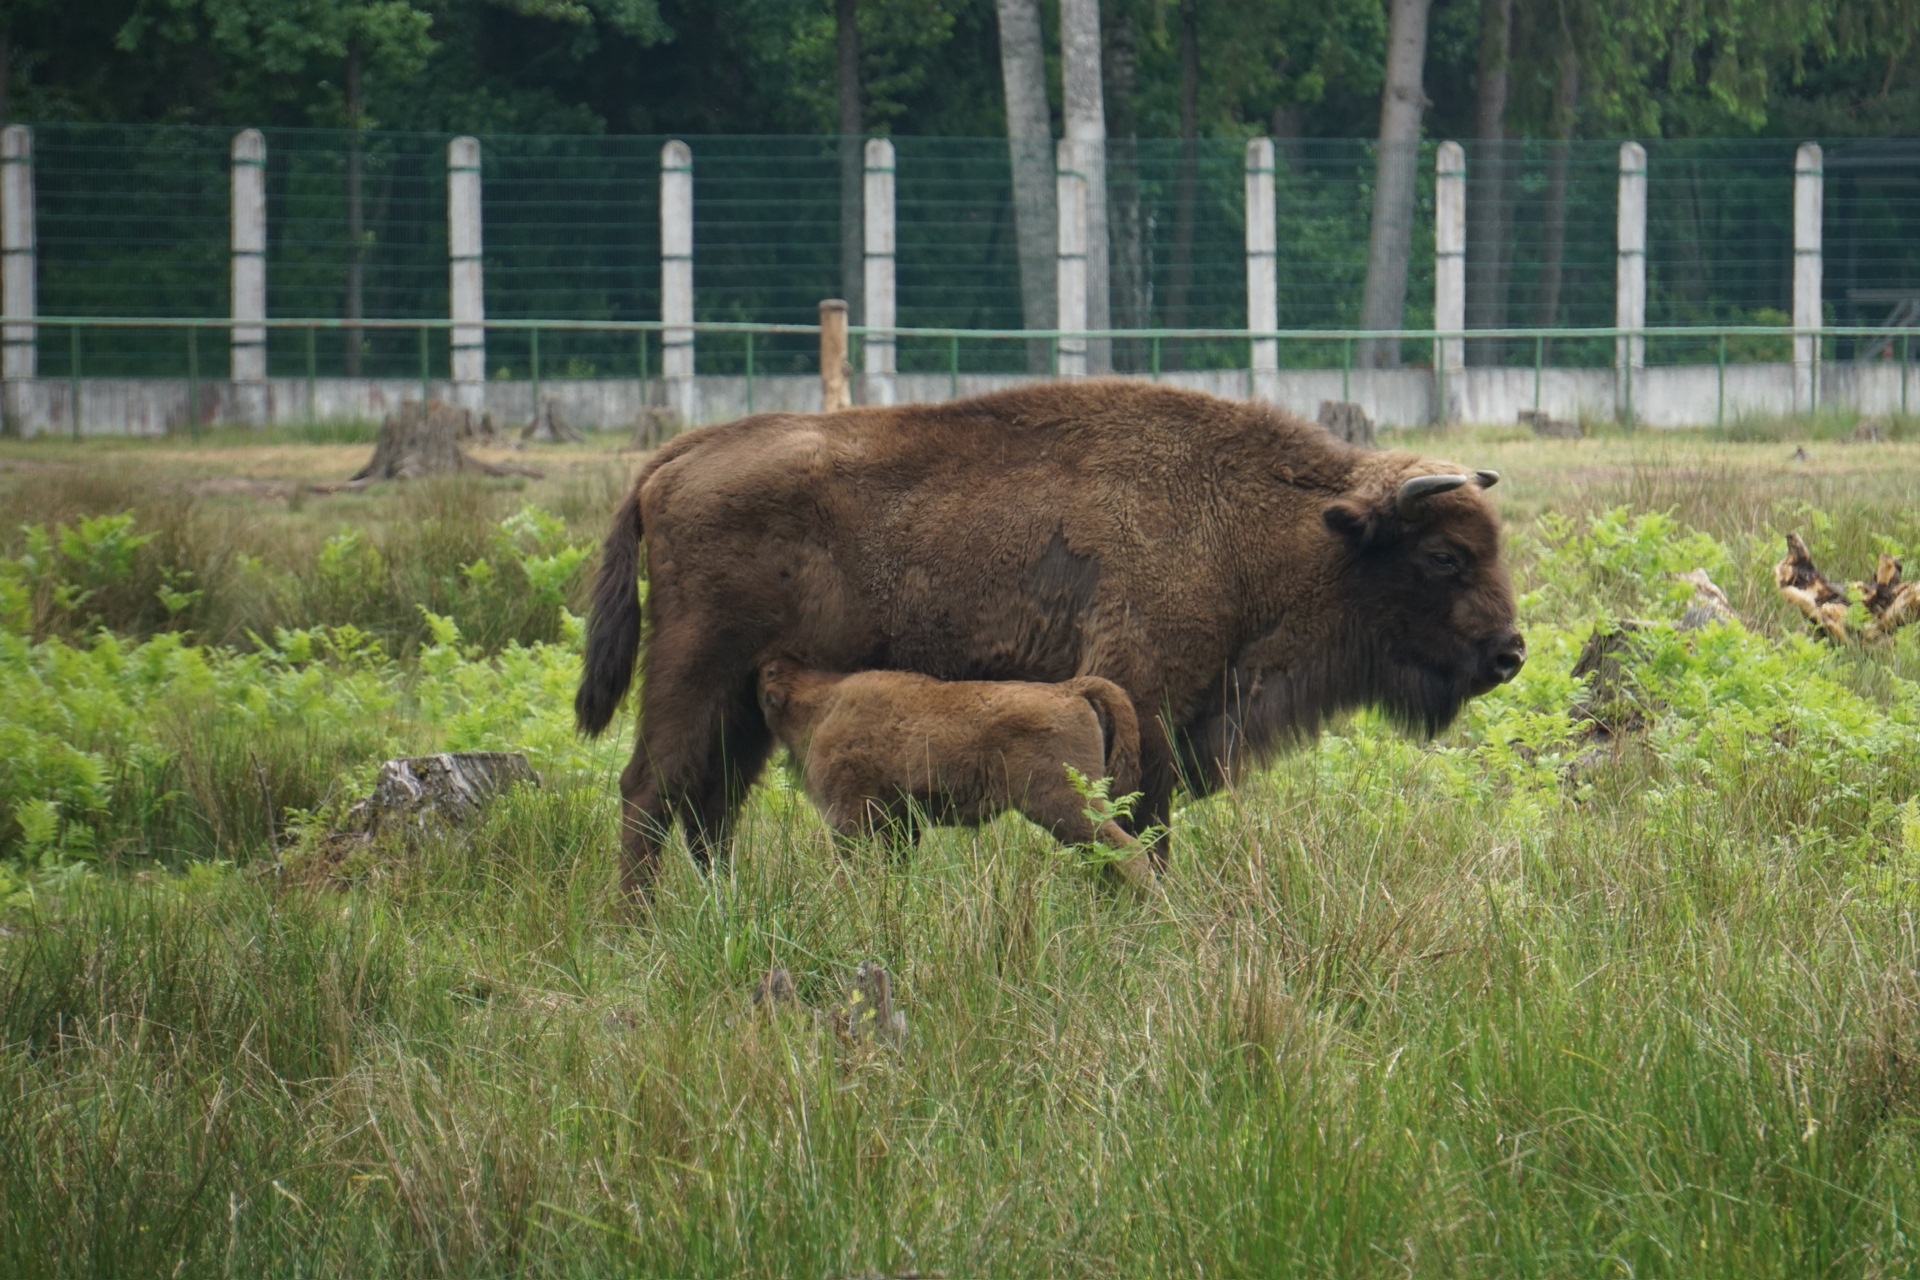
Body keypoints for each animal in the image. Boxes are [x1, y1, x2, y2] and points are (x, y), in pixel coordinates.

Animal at [756, 660, 1152, 890]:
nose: (767, 667)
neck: (821, 705)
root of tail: (1068, 689)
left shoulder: (850, 817)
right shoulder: (898, 821)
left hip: (1067, 808)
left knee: (1130, 851)